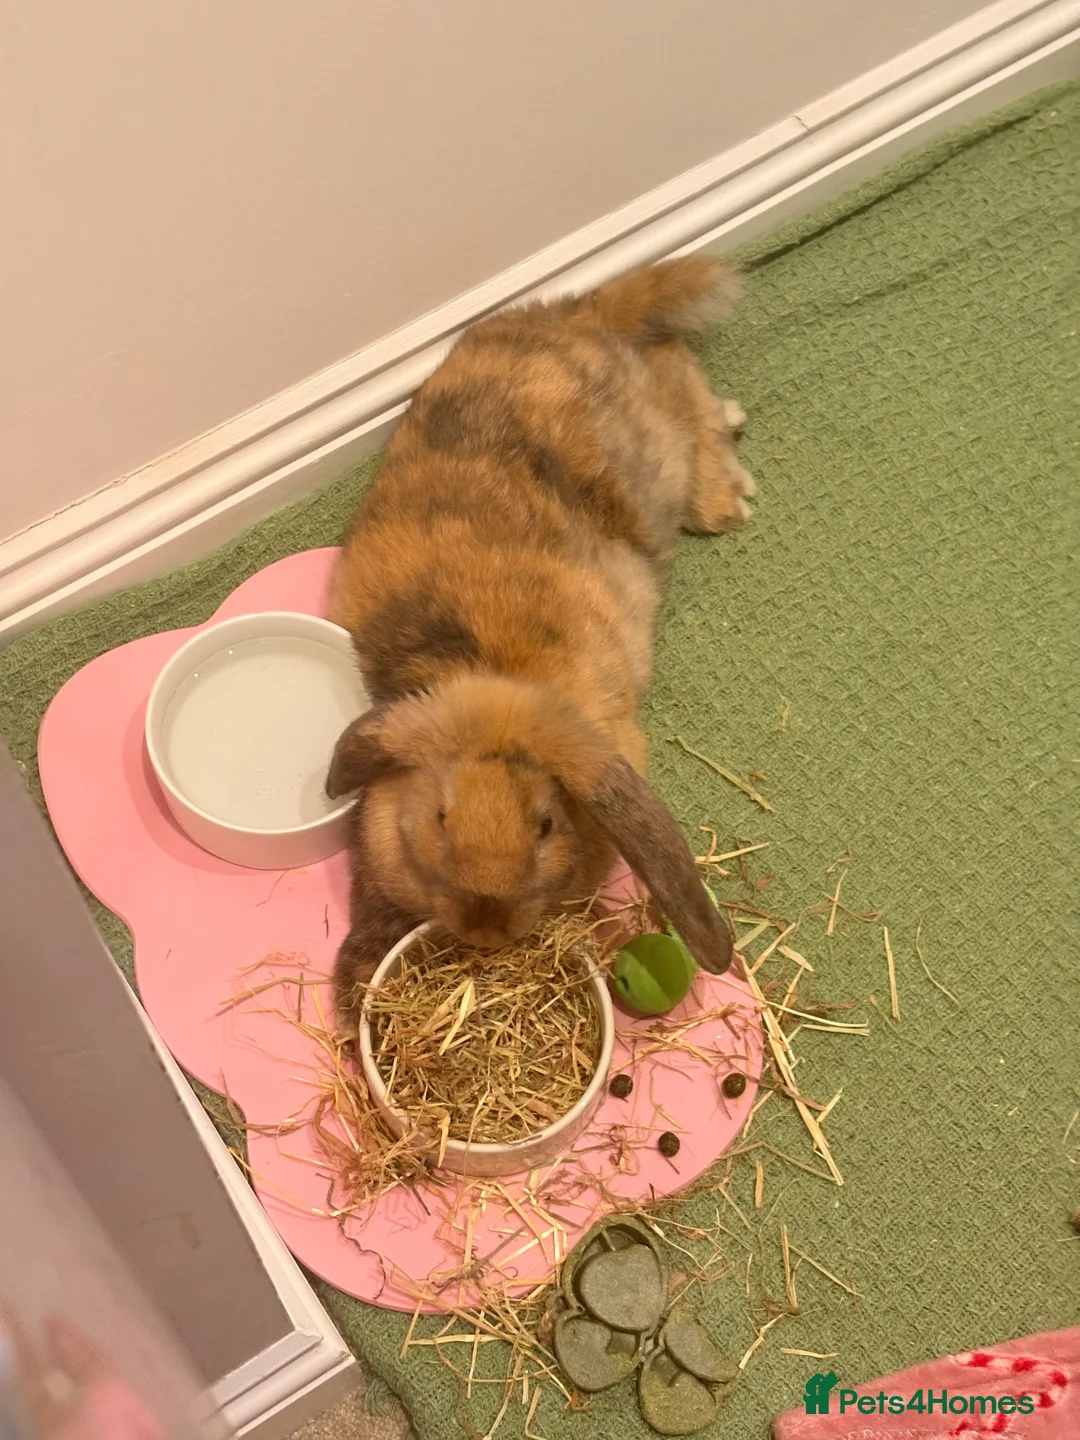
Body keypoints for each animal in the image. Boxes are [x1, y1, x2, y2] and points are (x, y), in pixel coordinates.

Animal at [326, 255, 756, 1032]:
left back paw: (728, 488)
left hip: (657, 454)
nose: (488, 928)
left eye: (547, 824)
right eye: (440, 817)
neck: (490, 674)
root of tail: (580, 316)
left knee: (676, 373)